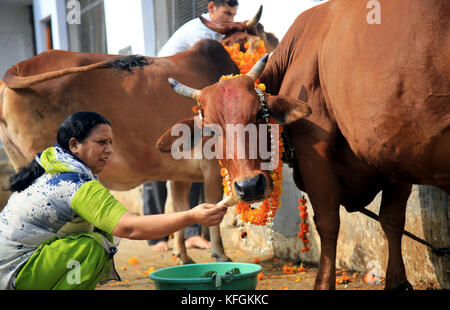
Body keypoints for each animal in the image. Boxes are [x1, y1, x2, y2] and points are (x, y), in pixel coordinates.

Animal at [163, 0, 450, 290]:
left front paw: (323, 283)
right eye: (210, 129)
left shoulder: (316, 152)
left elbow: (329, 222)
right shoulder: (394, 156)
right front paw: (397, 282)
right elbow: (391, 221)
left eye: (259, 115)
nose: (249, 186)